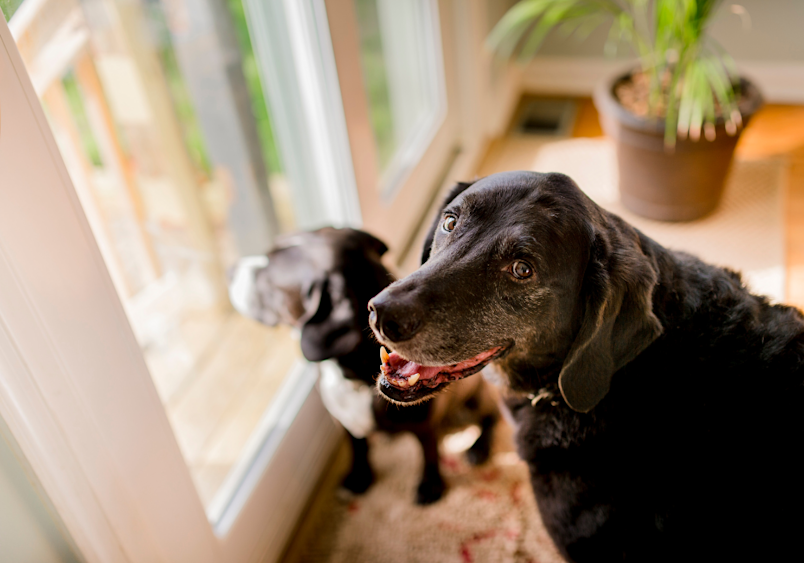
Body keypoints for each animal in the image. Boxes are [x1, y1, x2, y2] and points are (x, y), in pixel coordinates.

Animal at [229, 227, 500, 504]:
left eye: (268, 273)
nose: (230, 270)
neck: (354, 376)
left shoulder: (425, 423)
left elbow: (428, 451)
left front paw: (431, 485)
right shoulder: (344, 421)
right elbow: (358, 447)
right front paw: (359, 477)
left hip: (478, 398)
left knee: (491, 416)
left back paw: (479, 447)